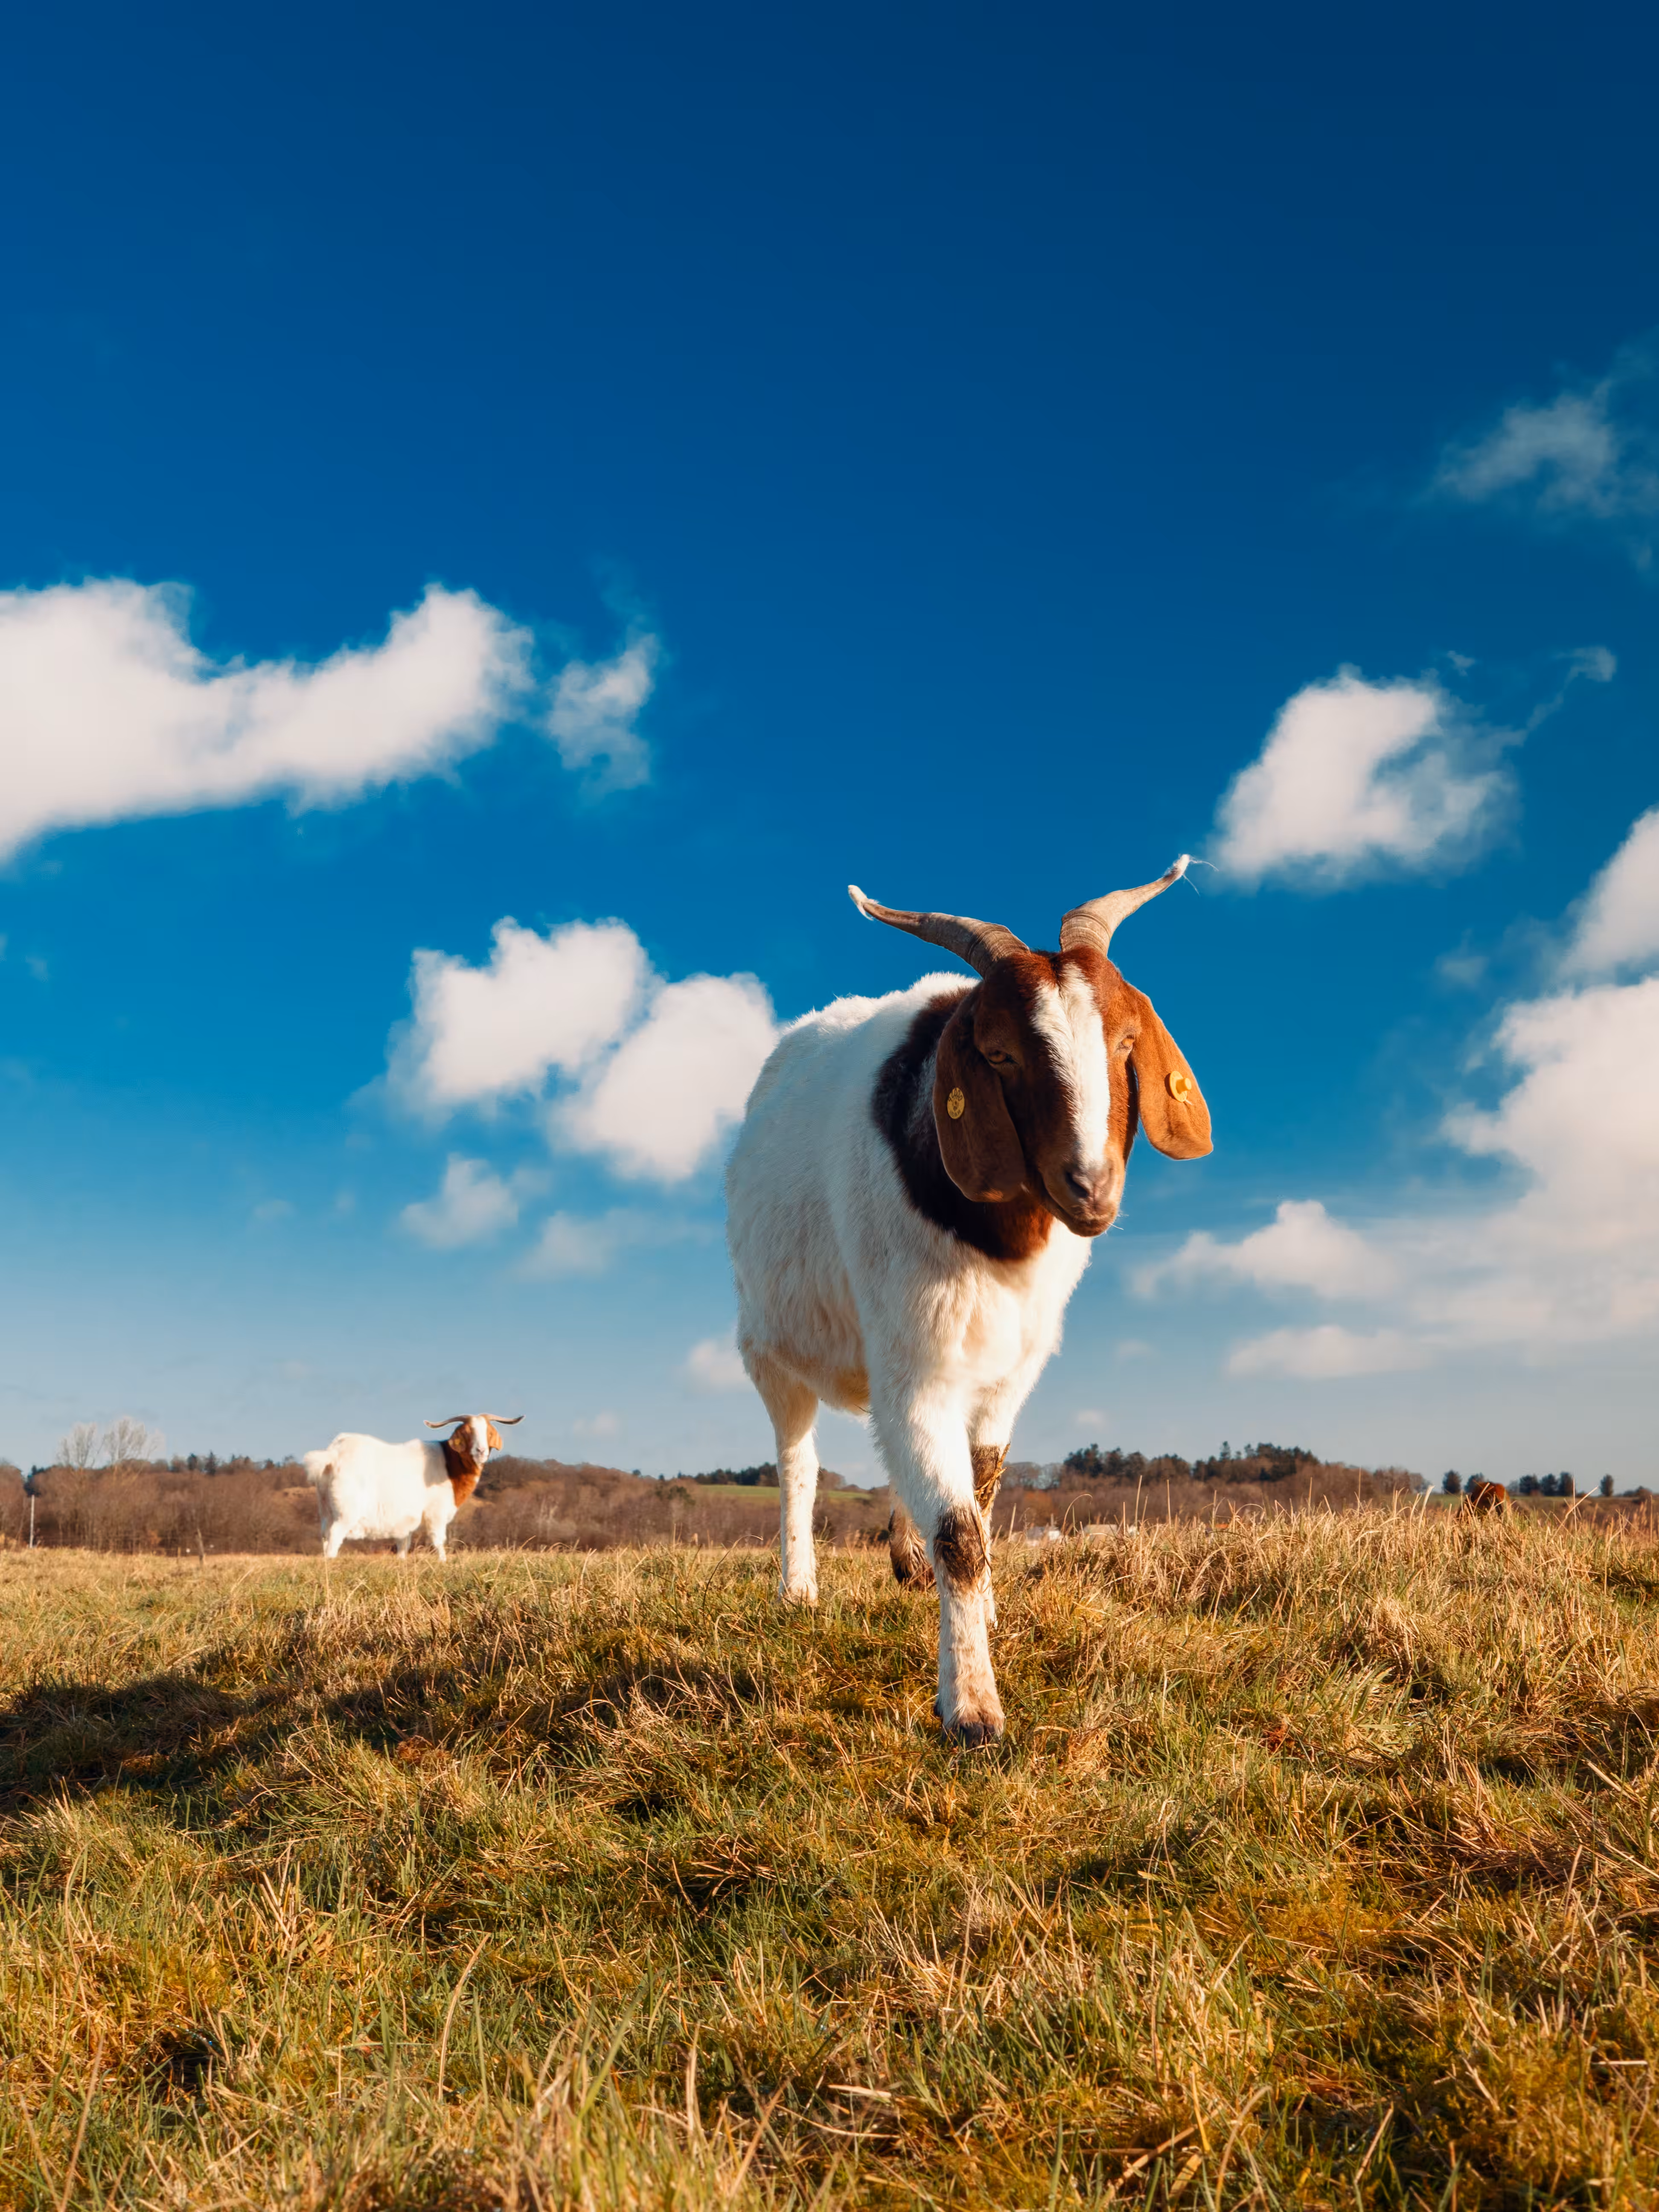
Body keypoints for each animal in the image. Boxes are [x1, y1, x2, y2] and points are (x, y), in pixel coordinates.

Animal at [302, 1414, 520, 1559]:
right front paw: (443, 1562)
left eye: (489, 1432)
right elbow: (438, 1540)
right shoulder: (436, 1512)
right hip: (346, 1511)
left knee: (325, 1536)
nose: (481, 1451)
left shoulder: (405, 1520)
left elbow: (403, 1544)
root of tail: (334, 1455)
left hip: (325, 1508)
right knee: (335, 1537)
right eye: (467, 1433)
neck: (450, 1463)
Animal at [725, 859, 1210, 1742]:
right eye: (999, 1053)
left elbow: (979, 1495)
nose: (1089, 1187)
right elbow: (960, 1531)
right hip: (769, 1346)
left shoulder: (1008, 1369)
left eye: (1125, 1041)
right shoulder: (914, 1360)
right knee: (797, 1462)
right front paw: (973, 1708)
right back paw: (798, 1588)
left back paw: (900, 1555)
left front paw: (975, 1619)